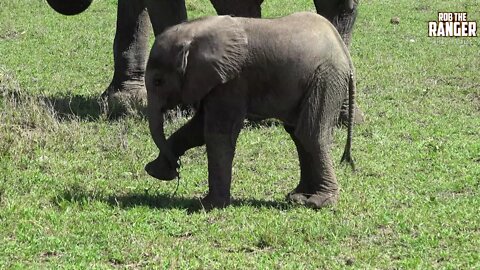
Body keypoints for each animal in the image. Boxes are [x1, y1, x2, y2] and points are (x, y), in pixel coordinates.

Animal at [146, 11, 356, 210]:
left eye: (158, 81)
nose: (176, 169)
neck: (195, 31)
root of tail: (345, 53)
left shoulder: (232, 80)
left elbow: (217, 134)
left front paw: (207, 205)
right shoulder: (216, 82)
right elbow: (196, 130)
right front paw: (156, 172)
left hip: (326, 78)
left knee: (310, 133)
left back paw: (319, 202)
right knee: (298, 135)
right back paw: (298, 197)